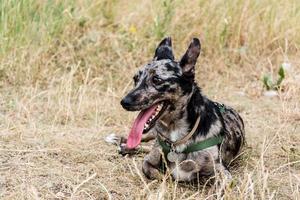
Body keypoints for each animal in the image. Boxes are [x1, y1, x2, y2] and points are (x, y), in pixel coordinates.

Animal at [118, 37, 245, 181]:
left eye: (156, 80)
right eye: (135, 79)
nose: (124, 102)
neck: (175, 135)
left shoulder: (222, 172)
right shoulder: (148, 162)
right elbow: (155, 173)